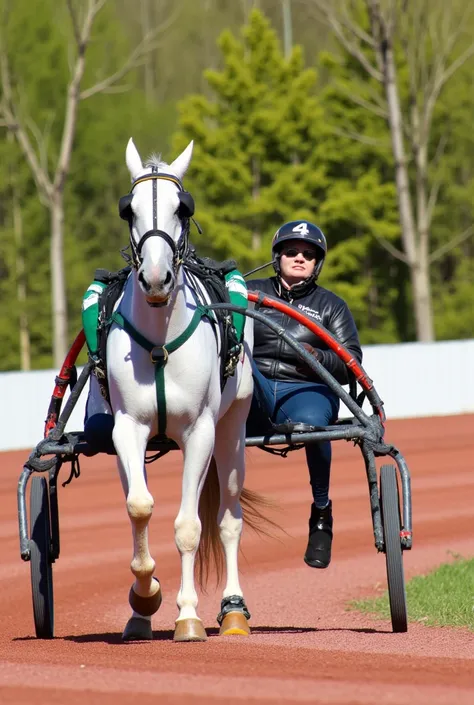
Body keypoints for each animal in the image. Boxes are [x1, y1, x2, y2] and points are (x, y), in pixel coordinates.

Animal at [99, 137, 262, 642]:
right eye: (128, 209)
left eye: (182, 207)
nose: (155, 278)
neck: (159, 342)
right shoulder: (127, 428)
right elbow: (138, 506)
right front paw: (145, 592)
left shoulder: (200, 431)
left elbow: (190, 526)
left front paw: (187, 614)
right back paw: (139, 616)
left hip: (232, 429)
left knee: (228, 519)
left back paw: (233, 610)